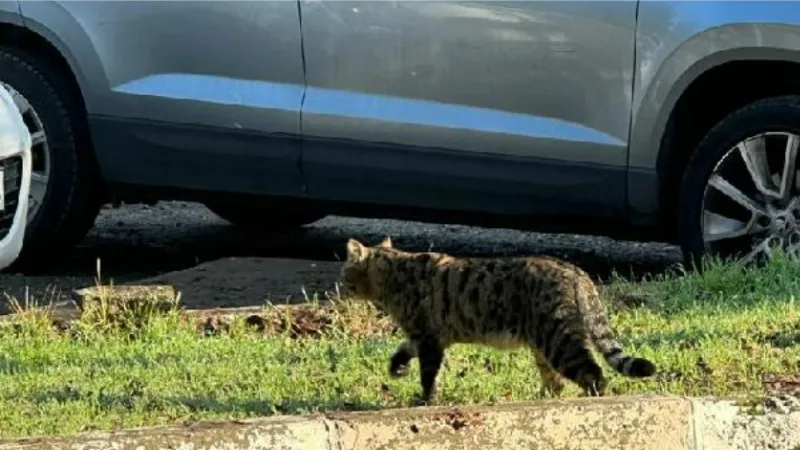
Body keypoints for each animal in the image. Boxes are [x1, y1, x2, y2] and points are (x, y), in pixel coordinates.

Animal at [338, 236, 656, 404]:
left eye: (344, 272)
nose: (341, 284)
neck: (394, 272)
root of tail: (577, 271)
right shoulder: (430, 336)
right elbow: (404, 350)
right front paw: (398, 367)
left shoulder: (427, 337)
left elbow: (429, 376)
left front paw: (425, 401)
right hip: (544, 345)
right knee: (556, 381)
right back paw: (543, 399)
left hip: (557, 339)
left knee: (592, 373)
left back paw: (590, 398)